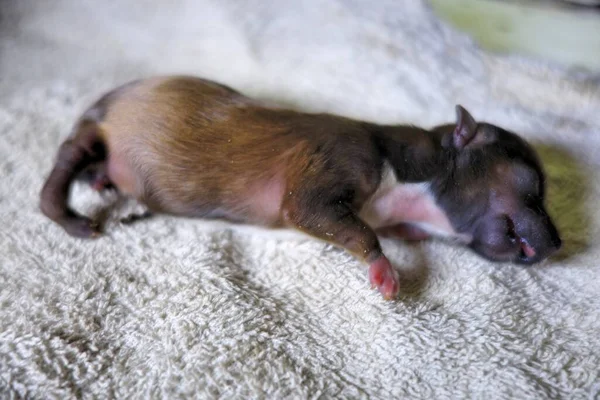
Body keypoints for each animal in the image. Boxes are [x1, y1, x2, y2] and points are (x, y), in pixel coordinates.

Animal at [39, 76, 560, 298]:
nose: (558, 244)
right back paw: (71, 217)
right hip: (93, 132)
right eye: (534, 184)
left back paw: (107, 185)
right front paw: (383, 268)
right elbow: (315, 212)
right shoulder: (342, 159)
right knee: (60, 174)